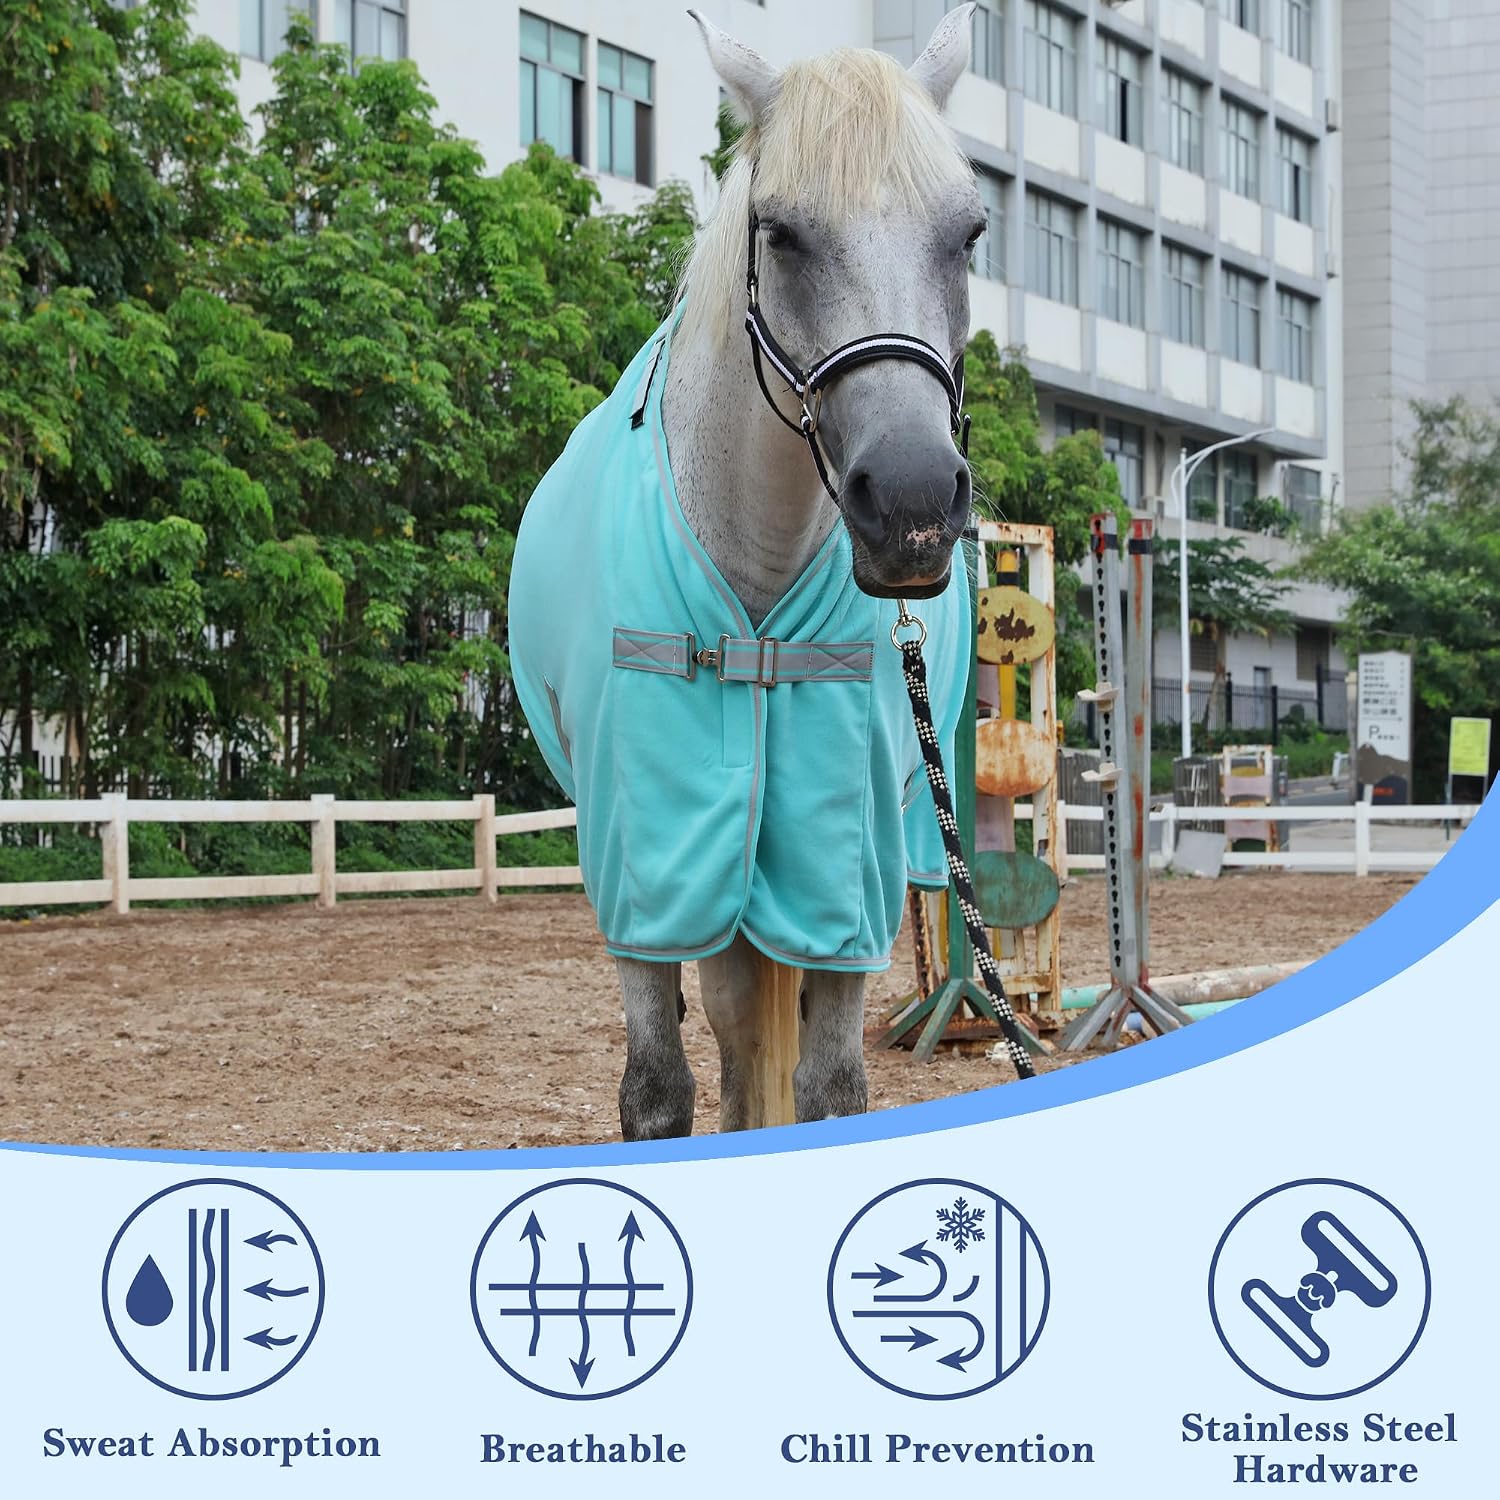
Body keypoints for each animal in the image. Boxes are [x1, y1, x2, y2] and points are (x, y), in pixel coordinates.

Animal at [508, 6, 986, 1139]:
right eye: (780, 230)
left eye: (969, 233)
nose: (911, 506)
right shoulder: (646, 861)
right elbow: (658, 1090)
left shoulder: (845, 869)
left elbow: (830, 1087)